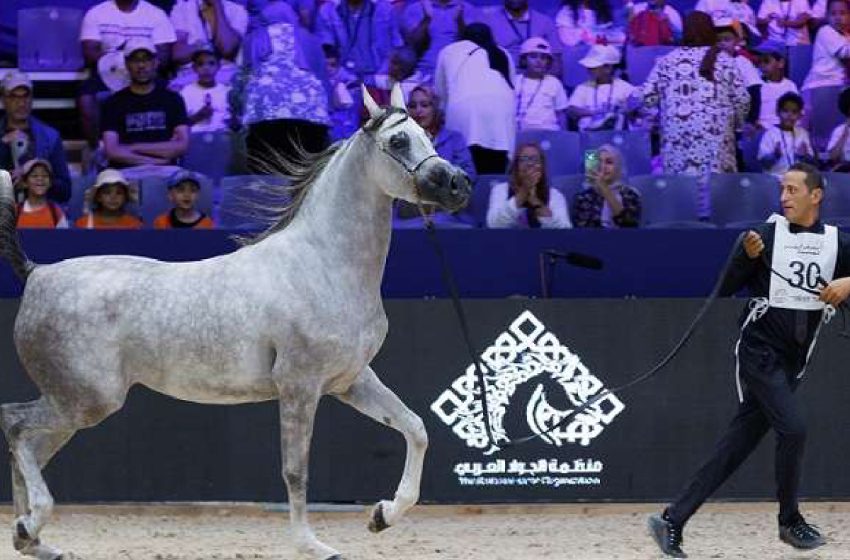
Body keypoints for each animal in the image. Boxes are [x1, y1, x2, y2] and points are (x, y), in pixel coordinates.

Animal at [0, 84, 471, 560]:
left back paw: (31, 537)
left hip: (75, 405)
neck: (323, 263)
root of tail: (37, 272)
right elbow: (295, 470)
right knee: (15, 425)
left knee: (28, 444)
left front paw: (382, 516)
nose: (459, 184)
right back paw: (29, 525)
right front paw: (312, 545)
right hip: (85, 400)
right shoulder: (300, 386)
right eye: (399, 141)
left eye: (429, 134)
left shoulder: (350, 381)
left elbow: (415, 428)